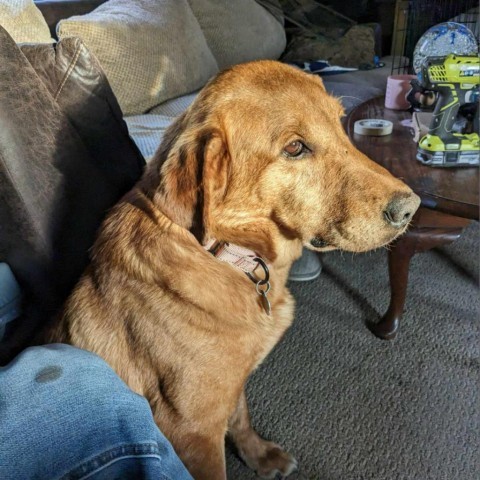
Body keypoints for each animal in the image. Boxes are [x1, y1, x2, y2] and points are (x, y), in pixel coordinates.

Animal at [46, 62, 420, 478]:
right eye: (295, 148)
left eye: (340, 124)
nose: (411, 208)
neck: (225, 253)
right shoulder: (192, 430)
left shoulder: (230, 389)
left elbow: (241, 417)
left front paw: (258, 454)